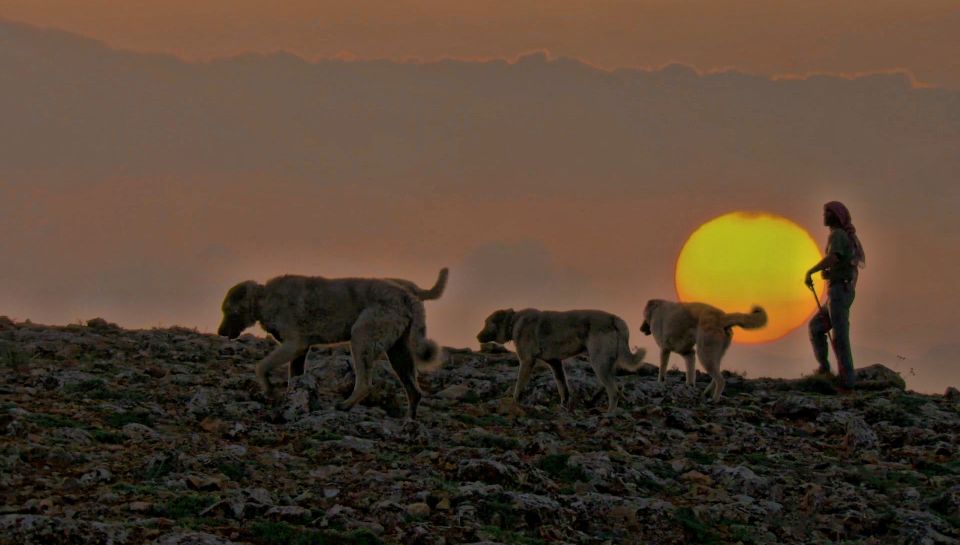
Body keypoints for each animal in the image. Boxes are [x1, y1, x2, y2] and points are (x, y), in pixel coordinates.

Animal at [218, 274, 438, 418]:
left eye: (228, 310)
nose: (220, 332)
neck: (263, 298)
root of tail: (407, 296)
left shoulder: (294, 345)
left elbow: (260, 366)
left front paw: (269, 389)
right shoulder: (299, 351)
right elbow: (294, 377)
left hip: (361, 339)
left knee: (365, 384)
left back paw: (346, 405)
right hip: (398, 352)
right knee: (414, 391)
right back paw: (409, 420)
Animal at [478, 308, 648, 410]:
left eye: (487, 322)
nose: (477, 337)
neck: (513, 322)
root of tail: (615, 318)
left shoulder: (526, 362)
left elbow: (519, 386)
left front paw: (514, 402)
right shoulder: (555, 363)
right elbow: (562, 387)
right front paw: (564, 405)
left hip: (598, 363)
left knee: (613, 392)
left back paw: (609, 414)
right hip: (606, 364)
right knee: (617, 387)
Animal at [640, 298, 768, 400]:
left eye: (643, 317)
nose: (640, 329)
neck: (656, 309)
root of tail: (723, 317)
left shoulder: (665, 349)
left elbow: (662, 370)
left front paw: (660, 383)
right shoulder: (688, 353)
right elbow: (690, 374)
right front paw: (689, 387)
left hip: (704, 354)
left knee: (720, 380)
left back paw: (714, 400)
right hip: (713, 355)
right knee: (716, 376)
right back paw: (706, 393)